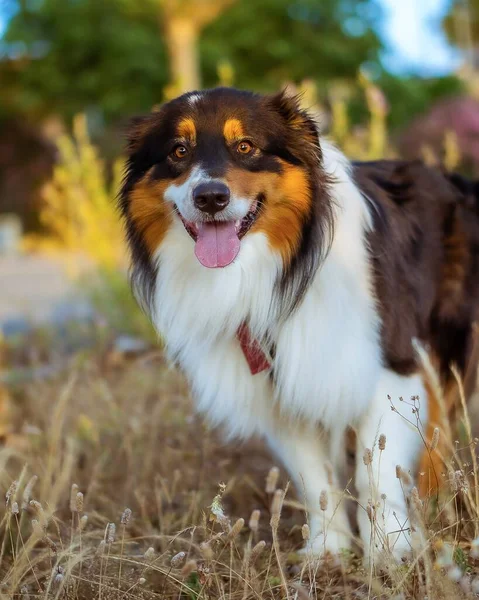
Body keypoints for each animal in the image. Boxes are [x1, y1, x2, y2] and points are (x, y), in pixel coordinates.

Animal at [118, 88, 479, 564]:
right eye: (179, 151)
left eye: (246, 147)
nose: (210, 197)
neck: (277, 266)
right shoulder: (275, 383)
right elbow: (315, 477)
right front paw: (328, 549)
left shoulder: (389, 367)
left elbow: (376, 471)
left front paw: (390, 548)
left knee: (438, 431)